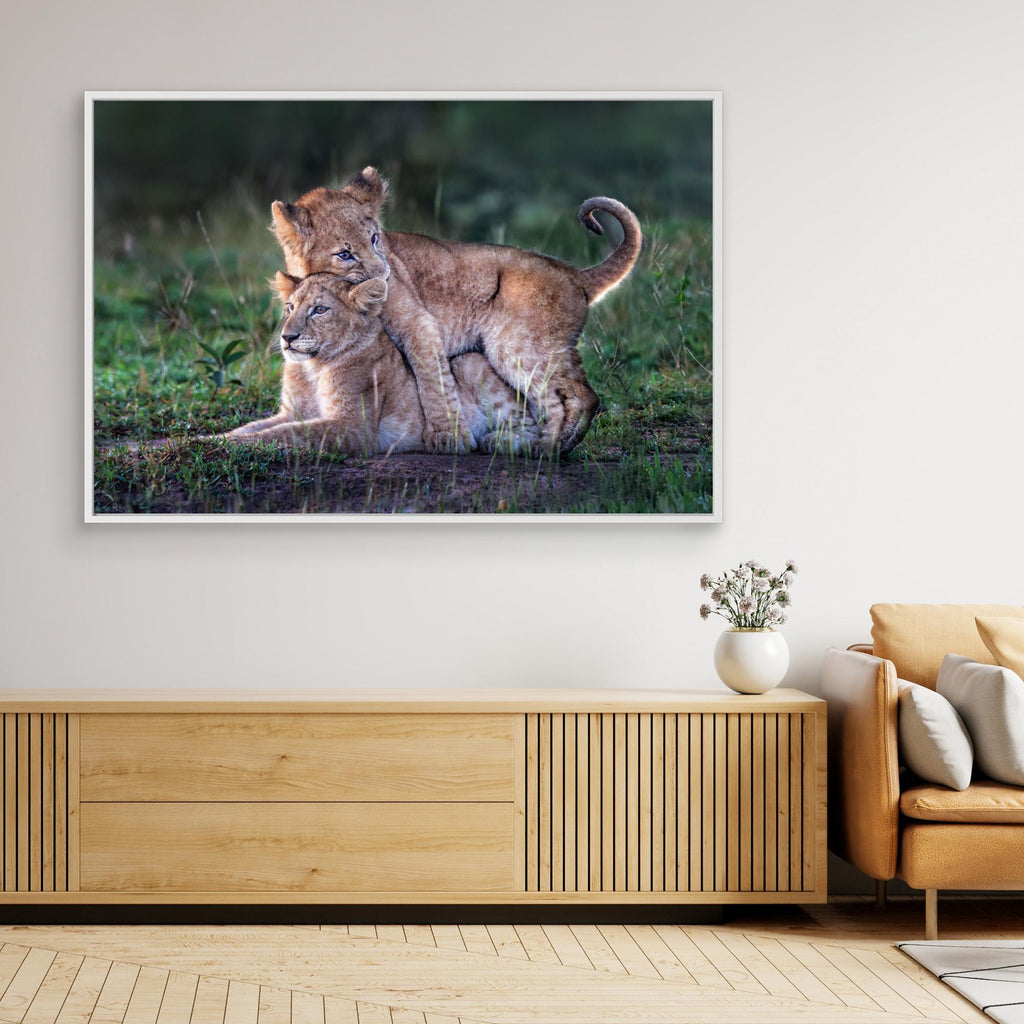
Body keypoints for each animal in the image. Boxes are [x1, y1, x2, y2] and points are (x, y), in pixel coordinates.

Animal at [223, 272, 541, 456]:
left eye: (320, 310)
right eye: (290, 307)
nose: (287, 337)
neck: (311, 368)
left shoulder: (352, 427)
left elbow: (287, 433)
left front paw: (233, 445)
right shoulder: (292, 412)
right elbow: (255, 427)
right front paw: (217, 438)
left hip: (470, 361)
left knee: (532, 426)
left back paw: (499, 442)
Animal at [270, 167, 642, 456]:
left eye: (375, 239)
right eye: (344, 254)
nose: (385, 275)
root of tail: (574, 274)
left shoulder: (418, 324)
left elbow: (432, 380)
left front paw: (447, 436)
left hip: (516, 346)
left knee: (577, 397)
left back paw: (546, 449)